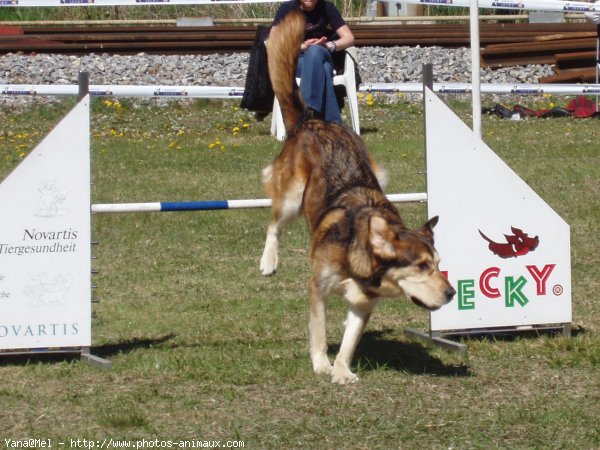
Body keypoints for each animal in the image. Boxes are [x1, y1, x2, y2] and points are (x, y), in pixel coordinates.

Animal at [260, 9, 458, 384]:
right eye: (421, 266)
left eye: (440, 264)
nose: (452, 292)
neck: (362, 263)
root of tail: (312, 121)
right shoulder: (318, 287)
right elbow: (320, 331)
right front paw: (322, 364)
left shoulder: (364, 304)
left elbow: (350, 340)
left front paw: (341, 371)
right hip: (292, 196)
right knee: (273, 225)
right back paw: (269, 261)